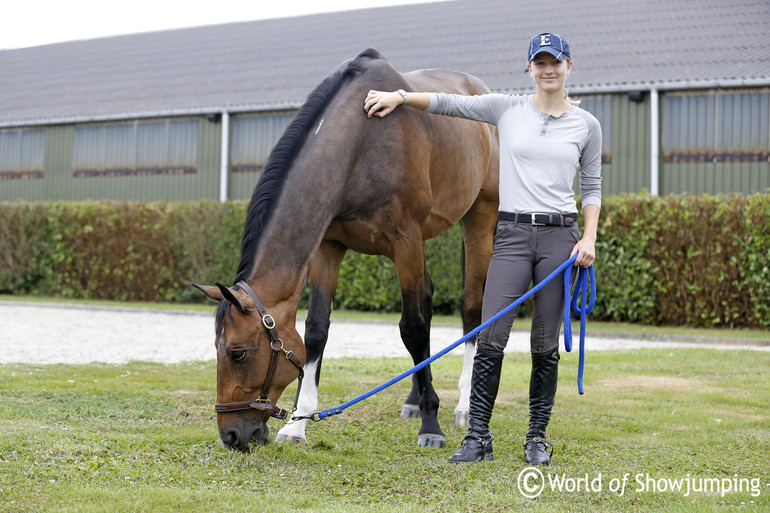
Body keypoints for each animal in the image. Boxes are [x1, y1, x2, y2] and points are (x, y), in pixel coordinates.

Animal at [192, 47, 498, 448]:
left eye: (237, 353)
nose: (231, 435)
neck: (360, 145)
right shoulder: (329, 246)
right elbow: (316, 330)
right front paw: (298, 423)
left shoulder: (406, 240)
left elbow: (412, 328)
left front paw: (432, 425)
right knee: (429, 299)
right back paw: (414, 399)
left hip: (478, 219)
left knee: (471, 308)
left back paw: (463, 404)